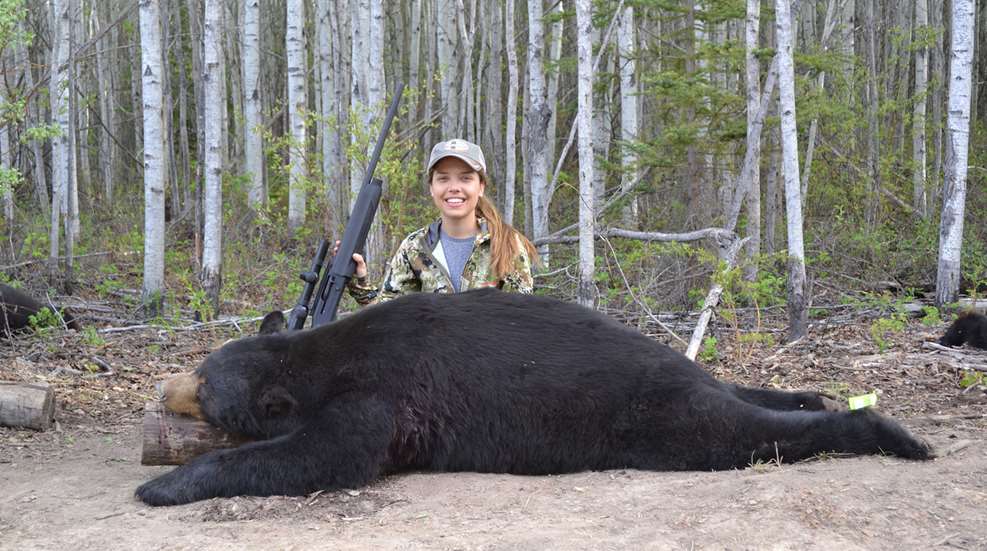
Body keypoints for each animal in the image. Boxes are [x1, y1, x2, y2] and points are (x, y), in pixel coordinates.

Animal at [137, 288, 931, 506]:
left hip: (655, 413)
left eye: (203, 380)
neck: (312, 359)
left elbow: (327, 455)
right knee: (740, 390)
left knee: (730, 430)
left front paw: (166, 481)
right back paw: (812, 391)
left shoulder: (377, 393)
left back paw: (891, 432)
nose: (165, 384)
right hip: (685, 380)